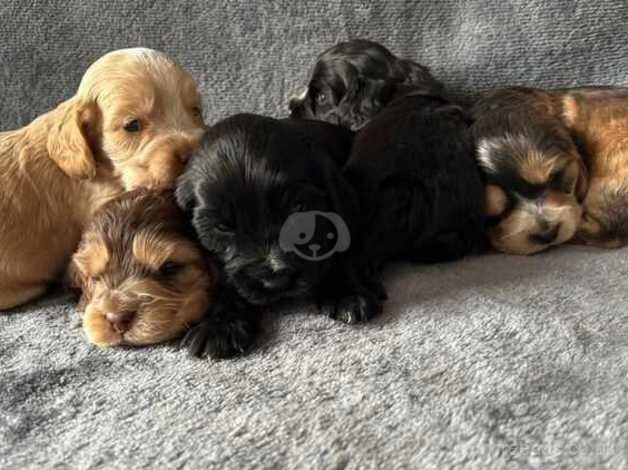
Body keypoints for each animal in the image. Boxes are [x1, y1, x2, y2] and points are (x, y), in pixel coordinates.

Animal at [175, 115, 378, 358]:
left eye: (298, 208)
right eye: (222, 227)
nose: (276, 279)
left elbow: (339, 249)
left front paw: (346, 294)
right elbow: (225, 284)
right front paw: (220, 325)